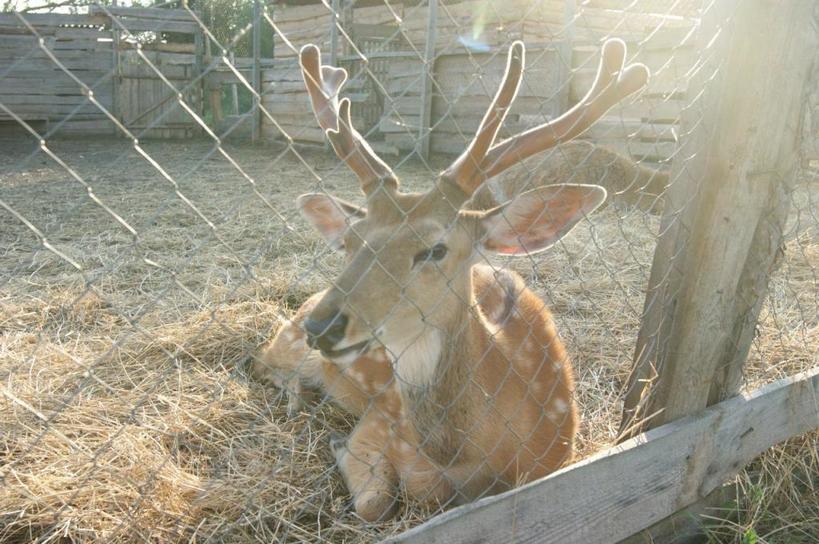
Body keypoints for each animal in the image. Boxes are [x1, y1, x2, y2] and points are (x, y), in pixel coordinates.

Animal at [253, 36, 652, 520]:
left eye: (435, 249)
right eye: (350, 241)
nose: (323, 325)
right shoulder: (381, 416)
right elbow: (375, 503)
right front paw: (337, 445)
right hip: (290, 341)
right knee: (259, 359)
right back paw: (297, 397)